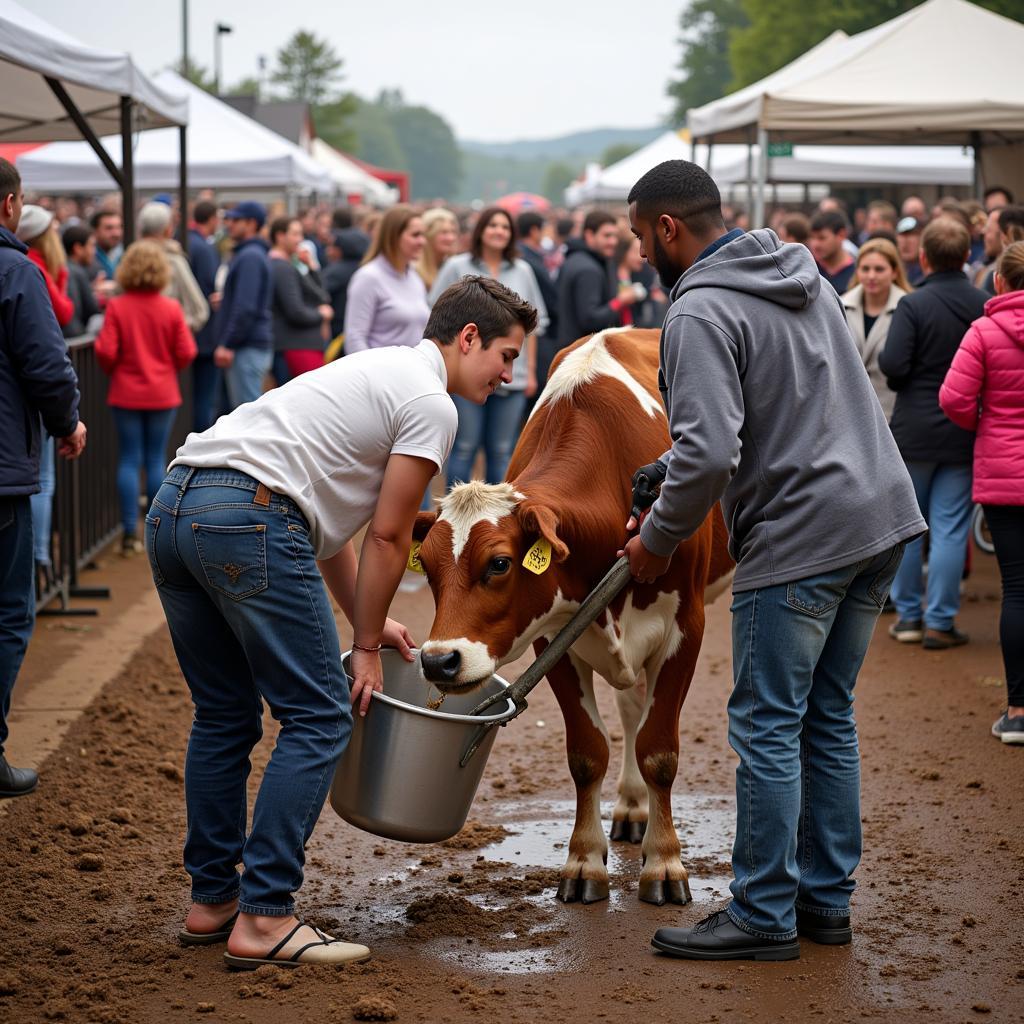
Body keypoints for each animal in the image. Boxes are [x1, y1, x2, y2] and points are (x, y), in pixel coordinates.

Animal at [411, 325, 733, 905]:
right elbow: (588, 753)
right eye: (424, 564)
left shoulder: (686, 629)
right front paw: (584, 861)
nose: (438, 661)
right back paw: (631, 807)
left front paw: (665, 863)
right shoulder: (553, 638)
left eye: (499, 563)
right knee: (630, 709)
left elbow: (659, 751)